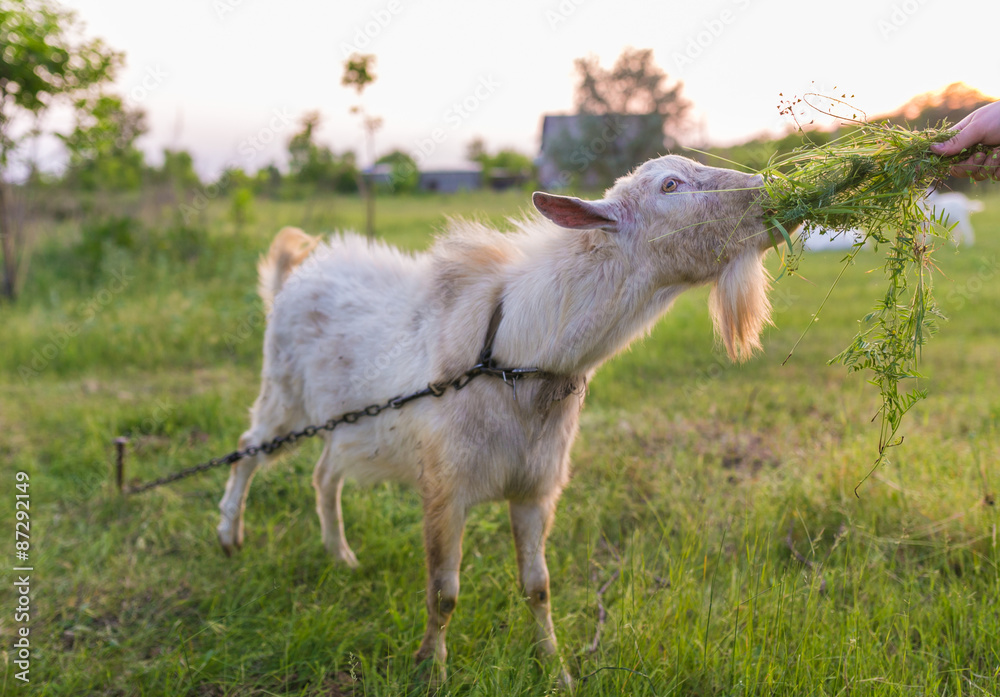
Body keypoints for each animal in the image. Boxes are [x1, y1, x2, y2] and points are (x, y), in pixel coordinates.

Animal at [216, 155, 784, 686]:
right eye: (670, 184)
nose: (769, 190)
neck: (512, 356)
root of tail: (294, 275)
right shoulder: (445, 486)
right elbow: (443, 591)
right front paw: (432, 670)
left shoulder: (535, 487)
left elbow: (539, 586)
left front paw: (555, 668)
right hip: (284, 393)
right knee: (247, 448)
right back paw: (229, 536)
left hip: (347, 419)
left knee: (324, 474)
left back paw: (341, 555)